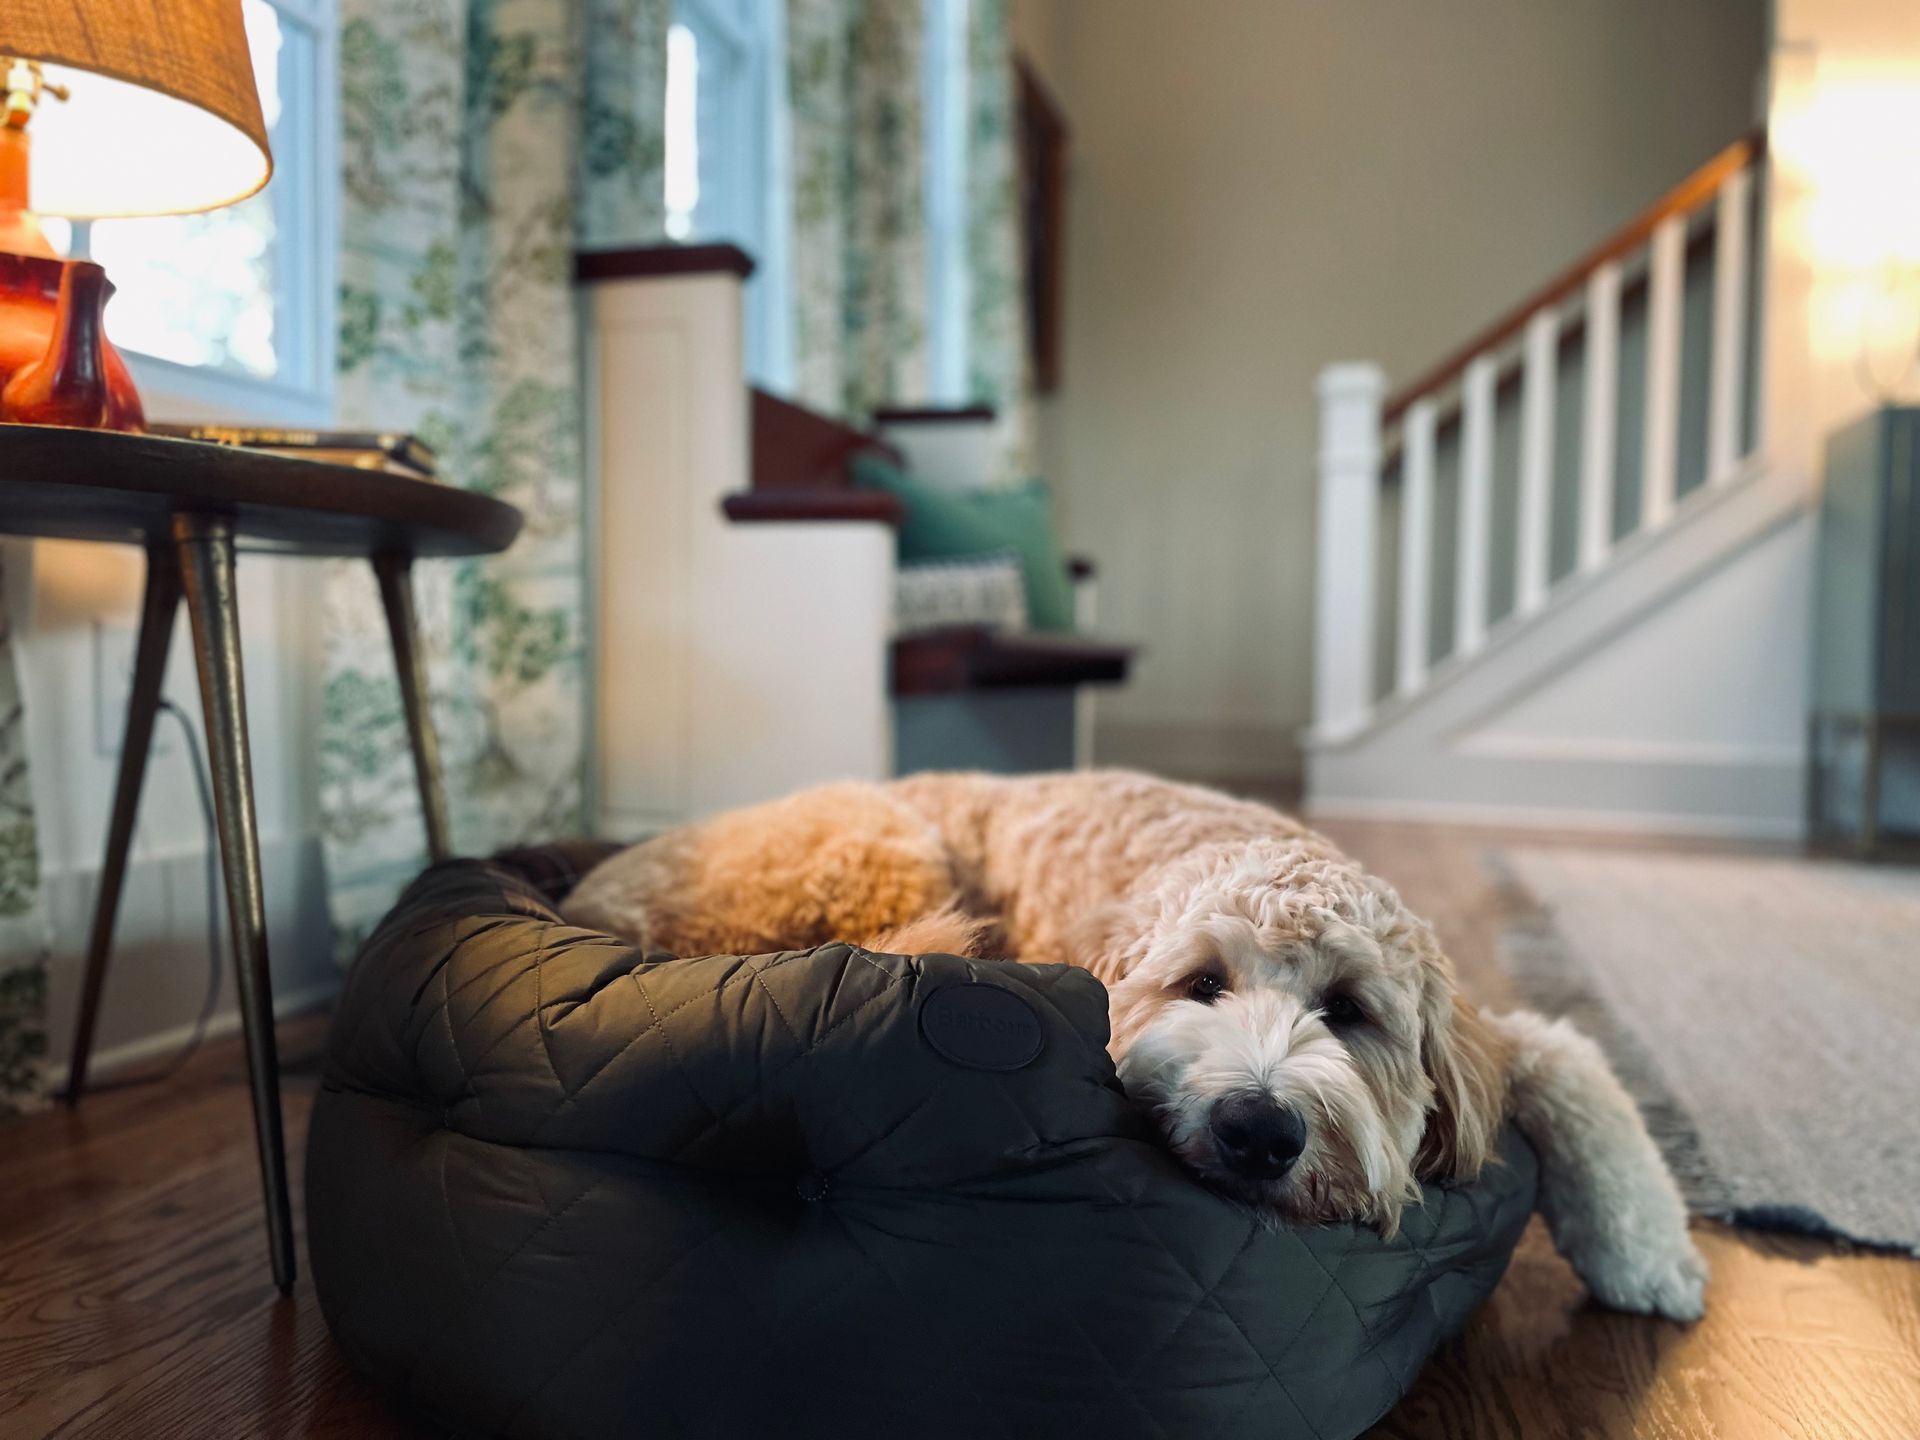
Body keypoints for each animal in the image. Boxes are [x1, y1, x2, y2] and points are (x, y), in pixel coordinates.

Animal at [564, 771, 1712, 1328]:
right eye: (1201, 983)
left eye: (1349, 1010)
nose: (1258, 1128)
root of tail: (596, 898)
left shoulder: (1484, 1033)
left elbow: (1571, 1060)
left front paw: (1648, 1255)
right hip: (878, 843)